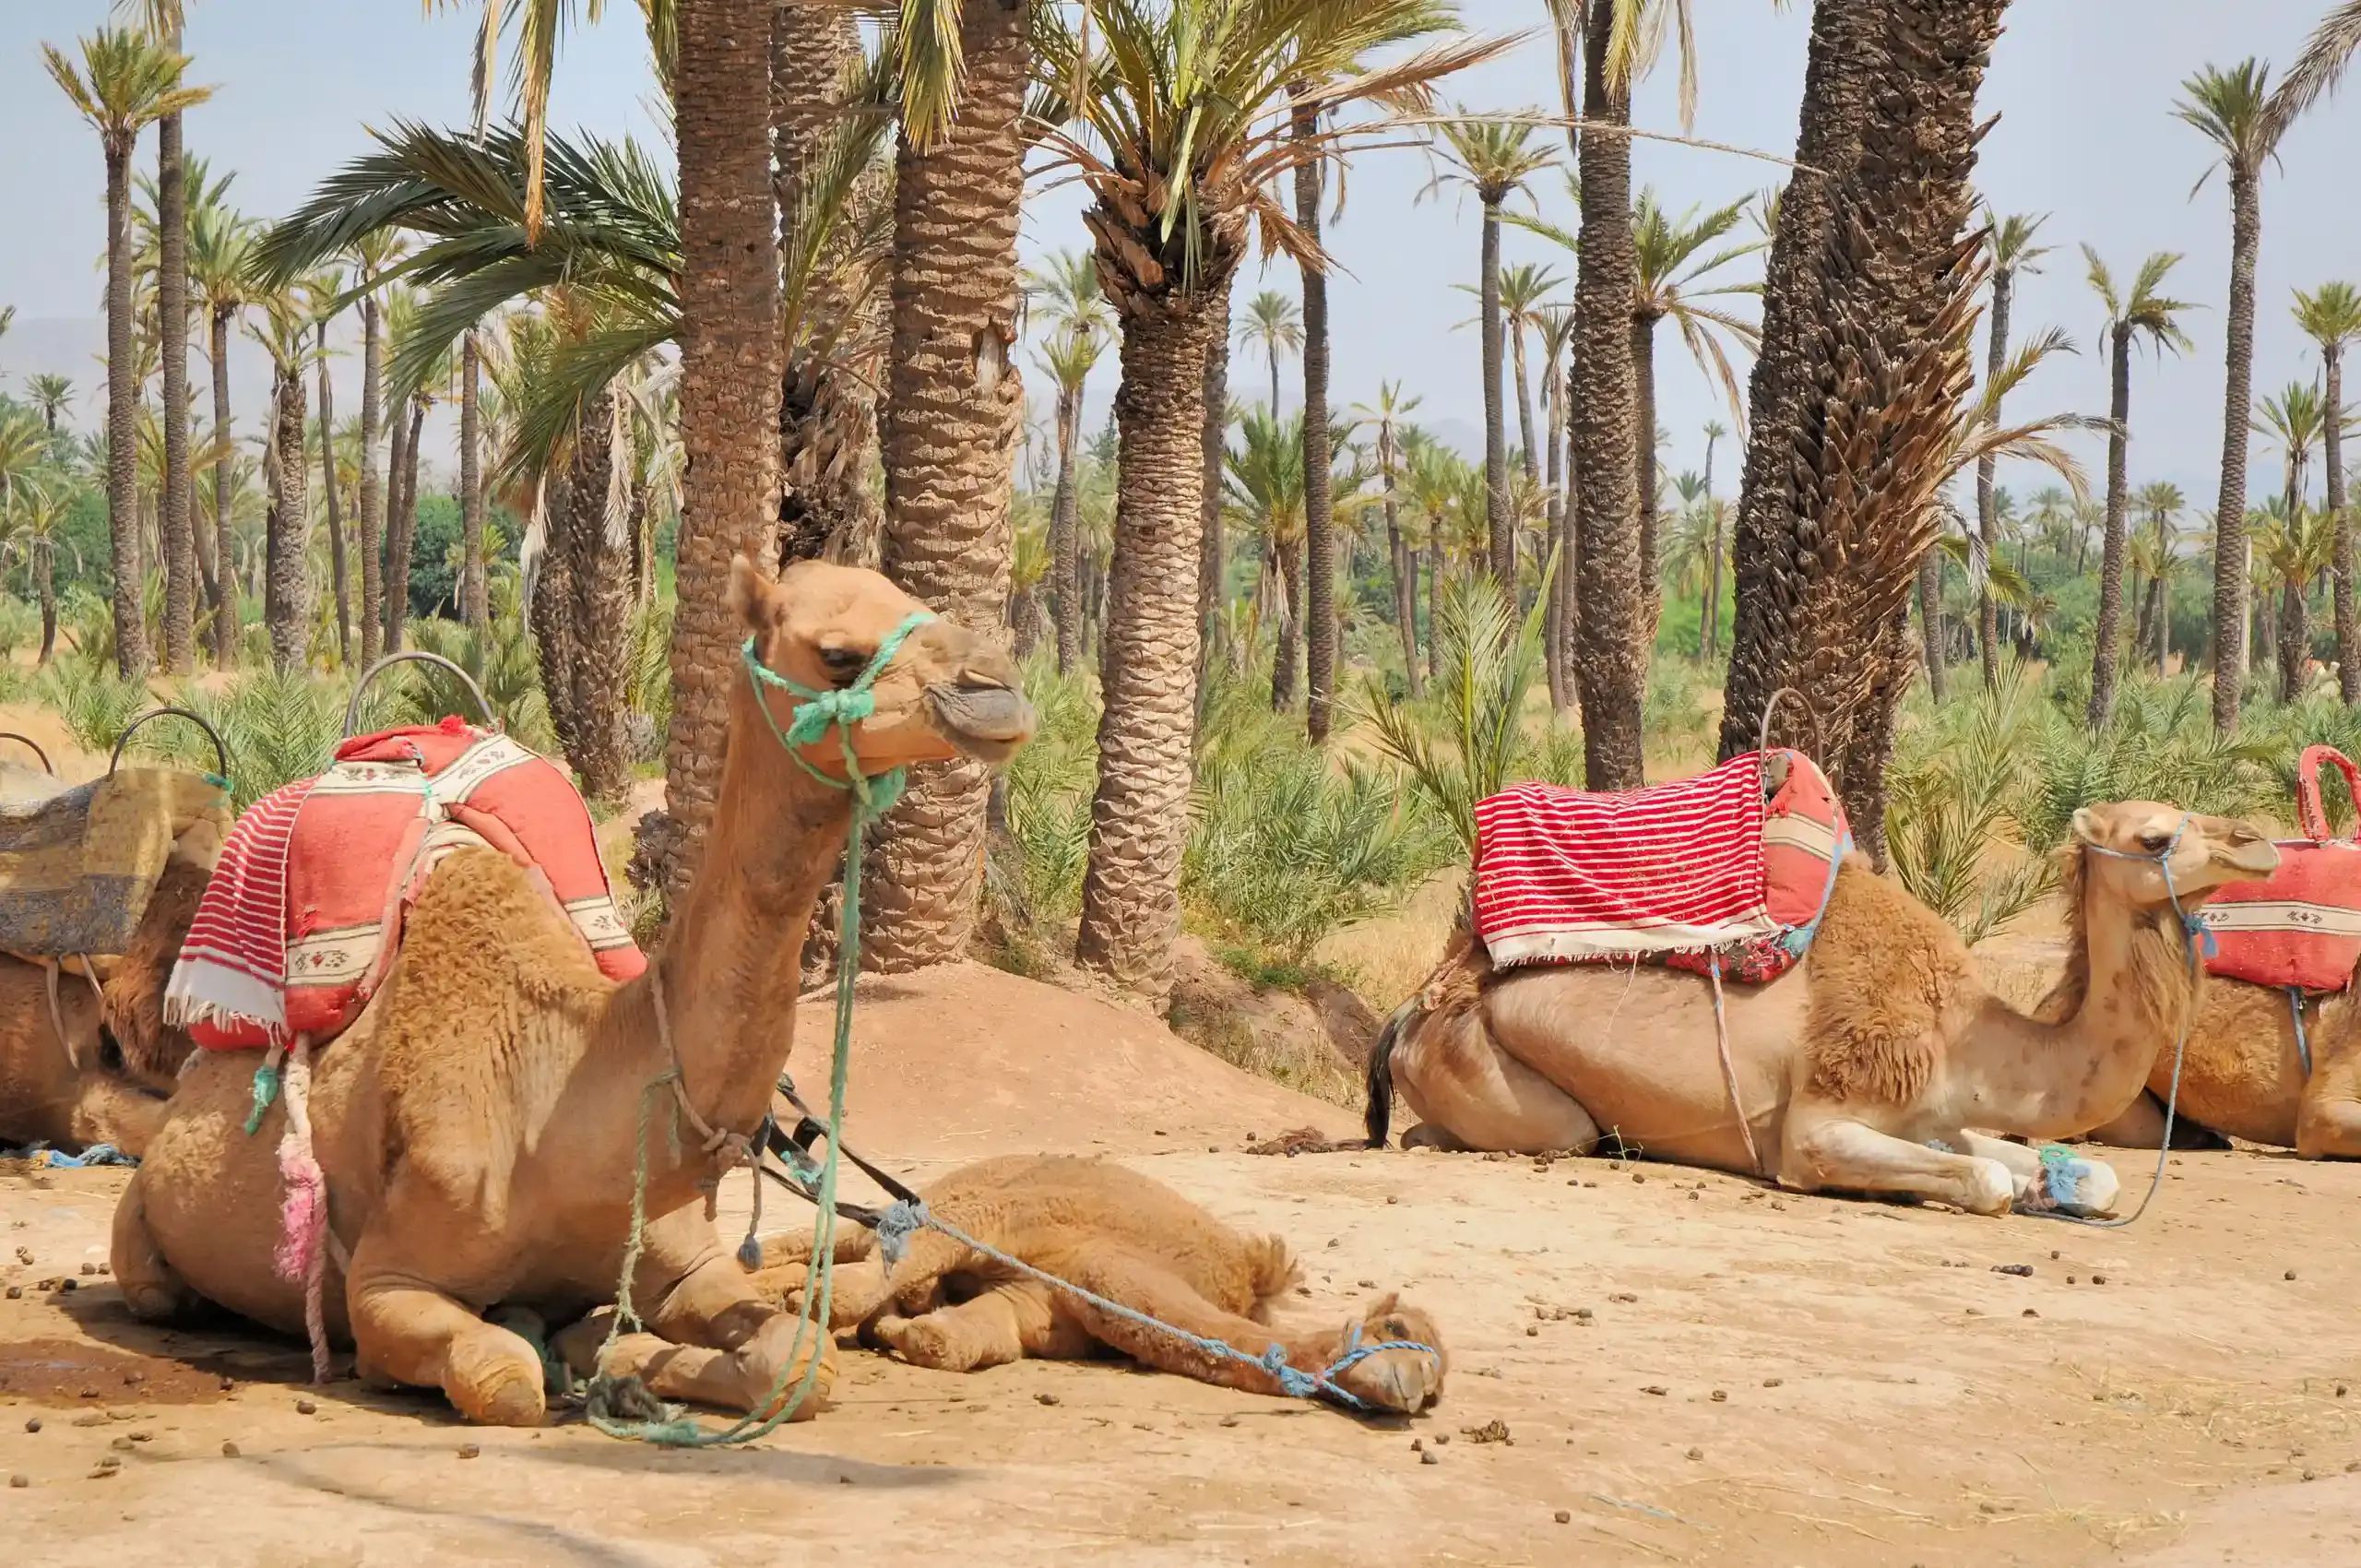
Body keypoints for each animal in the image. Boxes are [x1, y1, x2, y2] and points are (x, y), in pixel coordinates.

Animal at [111, 557, 1034, 1426]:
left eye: (911, 597)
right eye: (839, 654)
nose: (1002, 689)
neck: (563, 1097)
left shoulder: (684, 1258)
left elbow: (799, 1360)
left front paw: (611, 1350)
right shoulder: (385, 1282)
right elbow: (504, 1376)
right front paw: (583, 1354)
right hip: (143, 1236)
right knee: (158, 1288)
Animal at [741, 1147, 1435, 1417]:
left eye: (1437, 1383)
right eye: (1397, 1327)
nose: (1418, 1391)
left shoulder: (1036, 1305)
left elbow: (961, 1341)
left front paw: (896, 1330)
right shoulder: (1002, 1219)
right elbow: (908, 1259)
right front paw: (822, 1306)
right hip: (953, 1192)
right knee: (833, 1236)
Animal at [1379, 802, 2275, 1218]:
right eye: (2156, 838)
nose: (2259, 842)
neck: (1965, 1036)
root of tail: (1417, 1006)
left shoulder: (1934, 1115)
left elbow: (2096, 1174)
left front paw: (2053, 1187)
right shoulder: (1821, 1122)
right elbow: (1985, 1179)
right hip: (1493, 1072)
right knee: (1532, 1132)